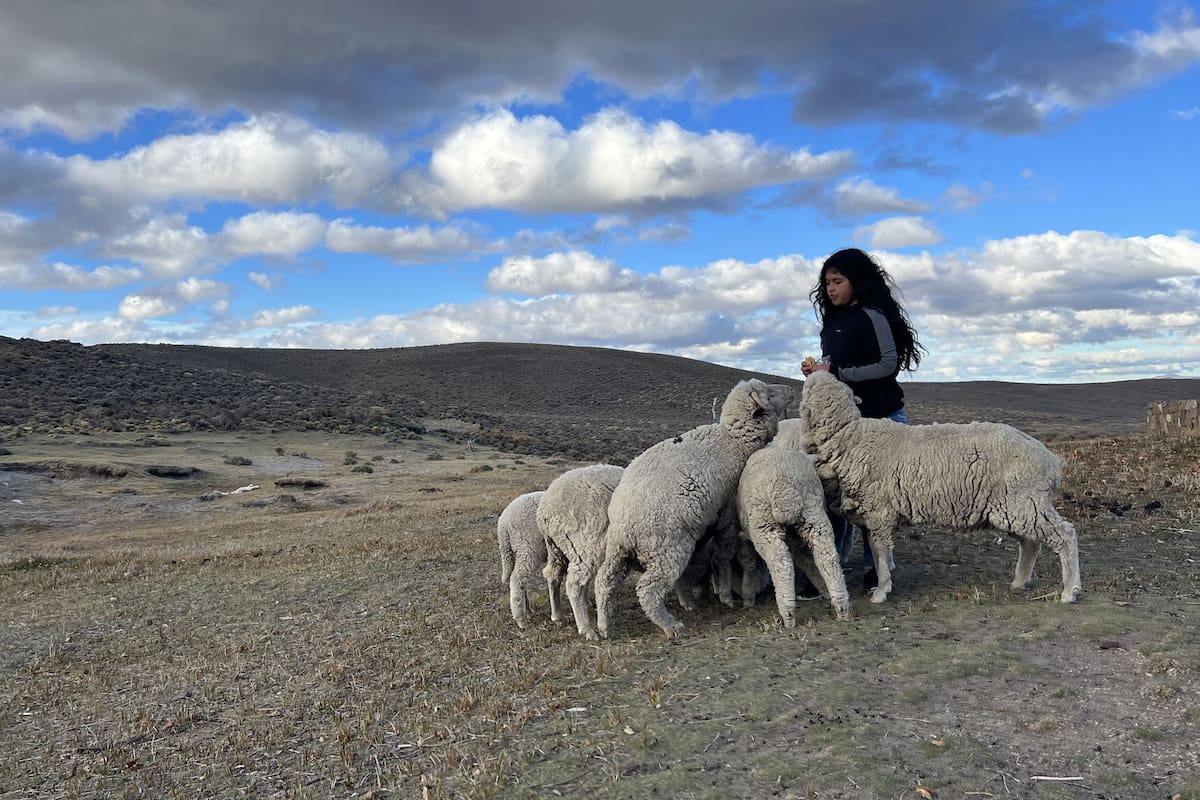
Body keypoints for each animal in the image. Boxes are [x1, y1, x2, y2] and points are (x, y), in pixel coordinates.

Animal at [497, 490, 562, 629]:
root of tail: (503, 525)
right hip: (527, 548)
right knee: (517, 579)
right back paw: (521, 620)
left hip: (516, 552)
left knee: (521, 581)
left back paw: (528, 611)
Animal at [593, 378, 793, 638]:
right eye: (768, 393)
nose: (791, 390)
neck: (734, 441)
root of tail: (625, 528)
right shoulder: (726, 513)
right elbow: (724, 554)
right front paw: (726, 596)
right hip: (668, 549)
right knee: (647, 590)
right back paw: (671, 626)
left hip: (618, 553)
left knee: (603, 582)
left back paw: (604, 626)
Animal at [736, 418, 851, 625]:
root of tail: (785, 488)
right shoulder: (796, 538)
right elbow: (805, 558)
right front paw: (820, 586)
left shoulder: (744, 536)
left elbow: (748, 562)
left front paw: (748, 596)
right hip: (814, 517)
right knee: (827, 557)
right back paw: (840, 605)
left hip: (765, 527)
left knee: (781, 563)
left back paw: (788, 613)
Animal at [800, 370, 1082, 605]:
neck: (849, 434)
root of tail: (1050, 460)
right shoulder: (875, 514)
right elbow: (883, 552)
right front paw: (886, 578)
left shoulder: (879, 511)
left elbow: (879, 552)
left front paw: (881, 591)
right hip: (1013, 508)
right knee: (1031, 543)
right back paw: (1020, 582)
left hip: (1023, 502)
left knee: (1065, 534)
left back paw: (1070, 590)